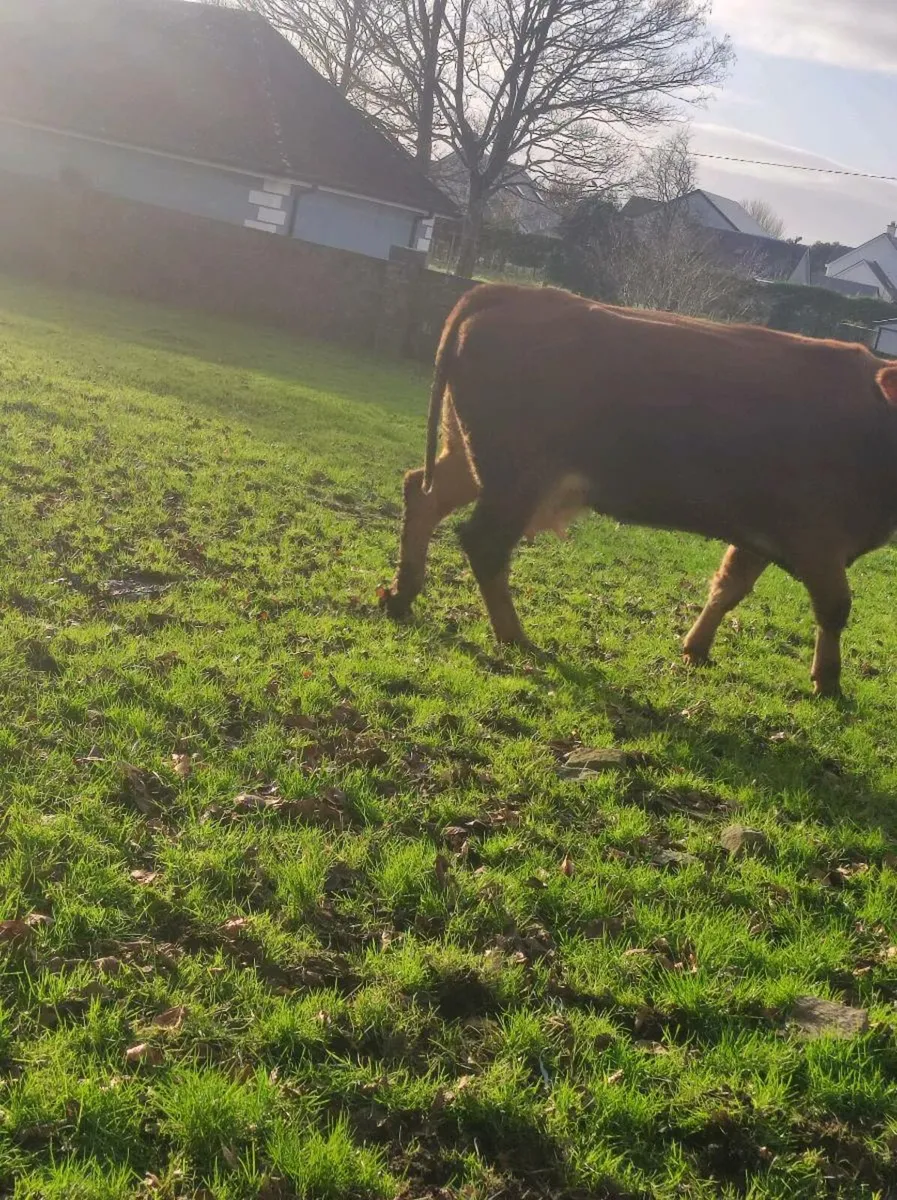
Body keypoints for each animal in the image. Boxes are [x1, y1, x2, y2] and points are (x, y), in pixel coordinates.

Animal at [380, 284, 897, 696]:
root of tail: (513, 291)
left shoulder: (763, 532)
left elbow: (728, 587)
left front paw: (696, 649)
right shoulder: (818, 538)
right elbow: (835, 608)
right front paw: (828, 682)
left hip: (471, 459)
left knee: (422, 494)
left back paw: (401, 596)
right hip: (515, 476)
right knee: (484, 543)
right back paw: (516, 638)